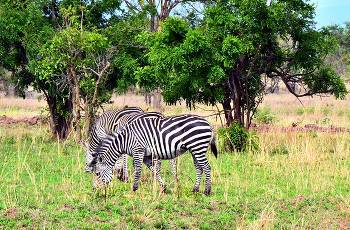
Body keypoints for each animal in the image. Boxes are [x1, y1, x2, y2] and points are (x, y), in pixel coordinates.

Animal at [89, 114, 217, 195]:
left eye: (97, 173)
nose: (94, 189)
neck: (125, 140)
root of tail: (208, 123)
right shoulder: (146, 156)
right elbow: (154, 170)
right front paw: (164, 188)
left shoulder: (138, 150)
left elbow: (138, 170)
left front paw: (134, 188)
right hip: (195, 149)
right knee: (199, 168)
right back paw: (195, 190)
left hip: (198, 147)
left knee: (206, 167)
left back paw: (207, 191)